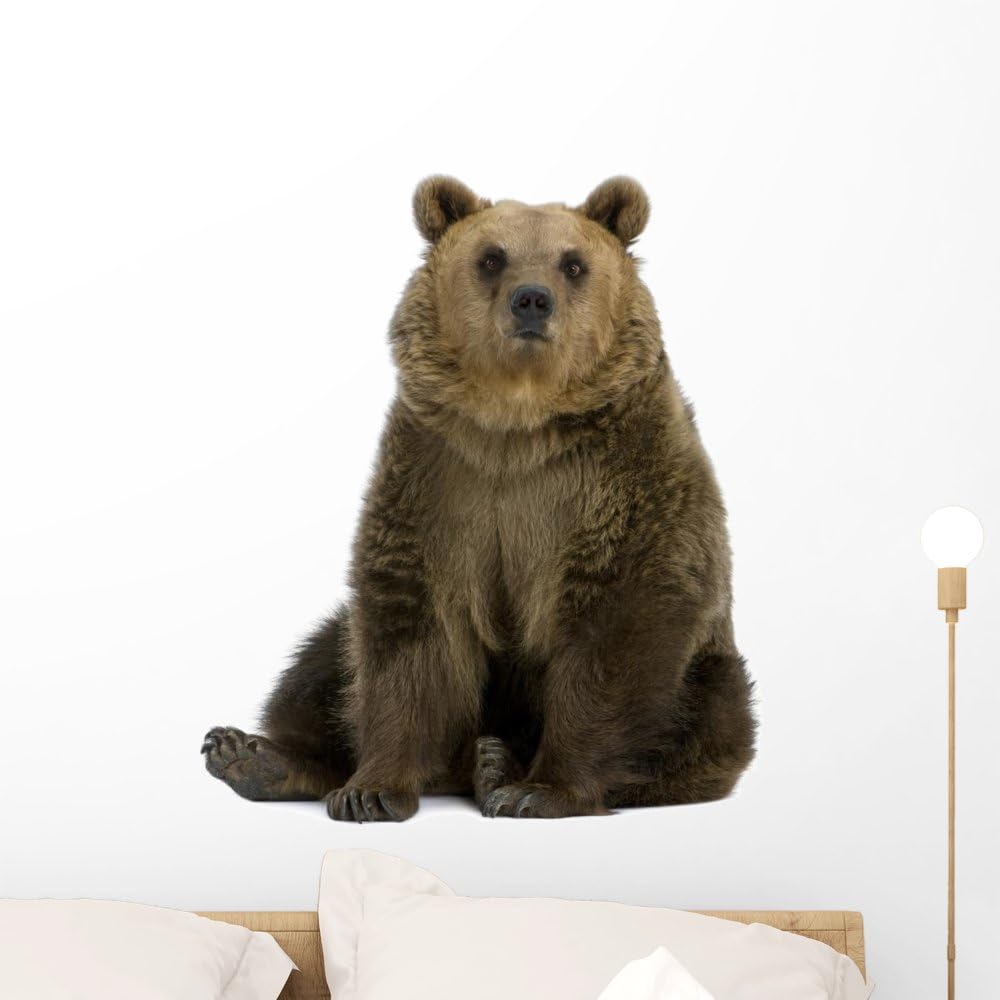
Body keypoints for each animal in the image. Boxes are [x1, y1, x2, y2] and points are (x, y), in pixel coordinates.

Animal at [201, 176, 757, 821]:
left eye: (573, 263)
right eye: (492, 257)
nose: (532, 299)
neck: (516, 424)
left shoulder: (622, 479)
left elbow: (617, 626)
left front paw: (541, 790)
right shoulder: (439, 480)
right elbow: (407, 631)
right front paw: (370, 790)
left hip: (709, 674)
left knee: (704, 717)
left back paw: (497, 765)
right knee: (322, 661)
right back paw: (253, 756)